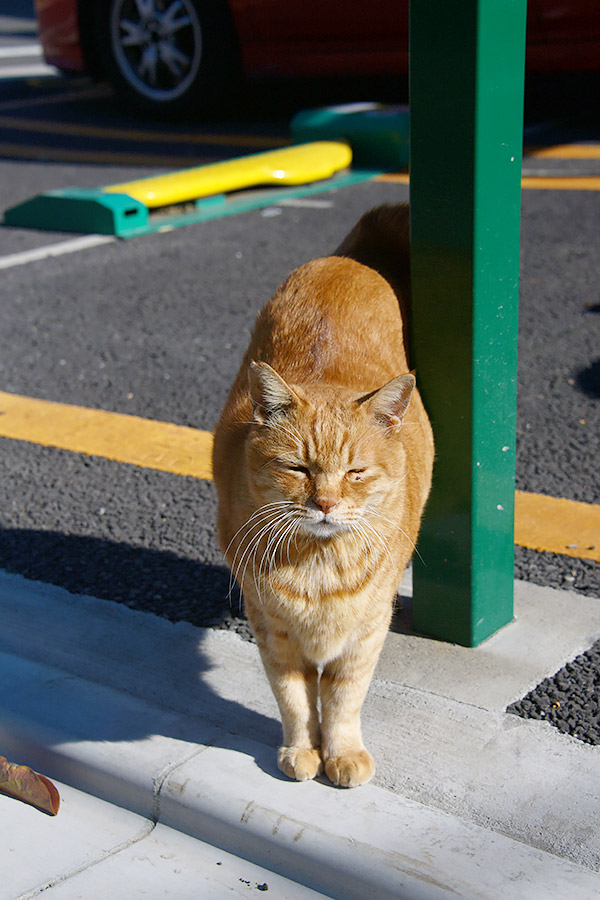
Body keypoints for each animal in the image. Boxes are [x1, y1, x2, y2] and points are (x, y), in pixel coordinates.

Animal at [213, 200, 434, 784]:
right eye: (299, 468)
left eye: (355, 473)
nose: (326, 504)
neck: (317, 565)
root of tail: (347, 260)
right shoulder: (272, 630)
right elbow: (293, 698)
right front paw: (301, 750)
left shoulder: (365, 632)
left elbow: (342, 700)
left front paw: (343, 753)